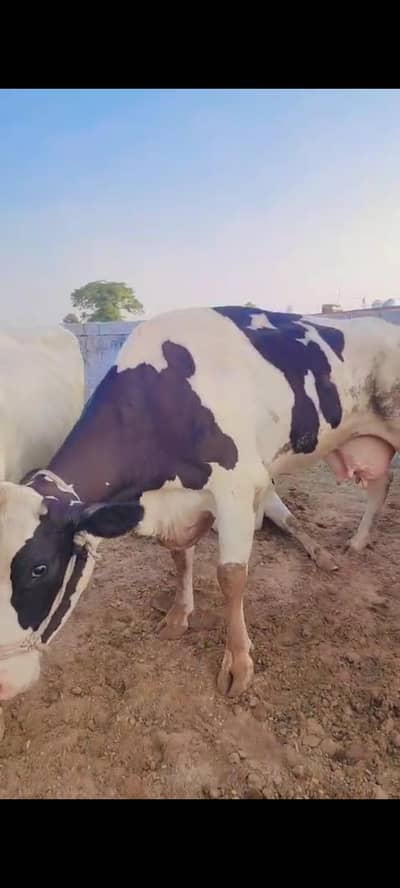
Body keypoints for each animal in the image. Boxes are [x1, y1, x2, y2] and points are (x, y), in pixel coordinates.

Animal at [0, 306, 398, 702]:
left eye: (38, 569)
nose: (4, 683)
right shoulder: (180, 503)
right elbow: (180, 558)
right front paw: (179, 617)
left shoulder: (237, 486)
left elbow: (231, 577)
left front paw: (238, 663)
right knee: (381, 484)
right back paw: (357, 542)